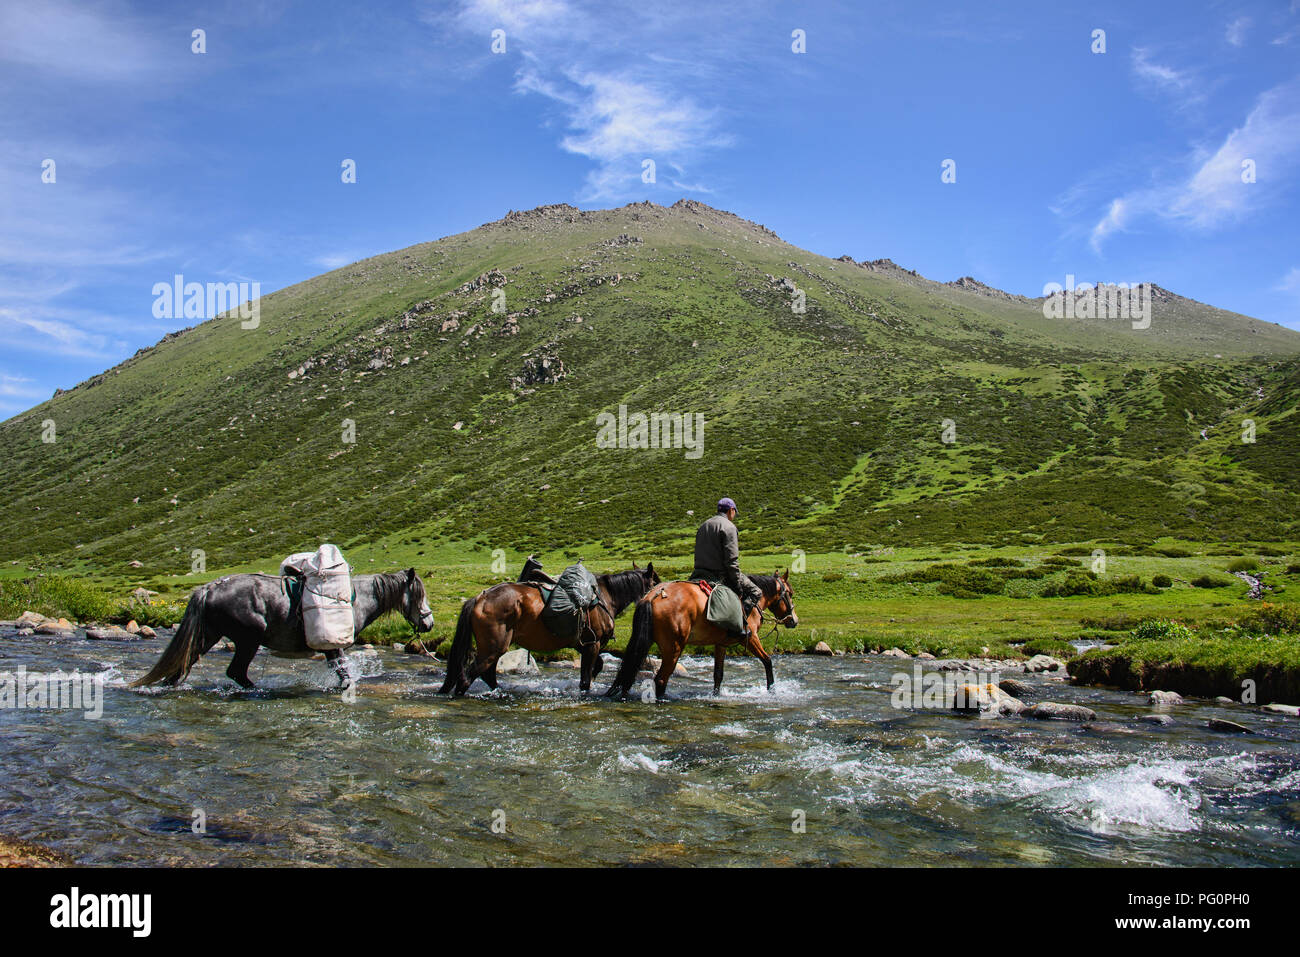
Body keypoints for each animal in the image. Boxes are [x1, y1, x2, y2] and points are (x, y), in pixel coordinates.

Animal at [133, 564, 436, 691]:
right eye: (418, 594)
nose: (429, 623)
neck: (355, 599)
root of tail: (209, 588)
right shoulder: (334, 646)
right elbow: (343, 675)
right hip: (248, 640)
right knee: (236, 672)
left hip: (208, 636)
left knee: (182, 665)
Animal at [439, 561, 660, 696]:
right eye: (656, 582)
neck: (607, 597)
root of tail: (479, 599)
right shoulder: (593, 644)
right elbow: (586, 678)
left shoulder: (584, 644)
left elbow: (596, 667)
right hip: (493, 648)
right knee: (469, 678)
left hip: (494, 648)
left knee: (488, 675)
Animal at [603, 572, 795, 696]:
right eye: (791, 593)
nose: (794, 620)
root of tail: (654, 596)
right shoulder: (751, 637)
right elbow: (767, 661)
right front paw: (772, 691)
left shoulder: (721, 644)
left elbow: (718, 674)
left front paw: (716, 695)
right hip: (674, 649)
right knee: (661, 680)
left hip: (645, 643)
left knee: (630, 673)